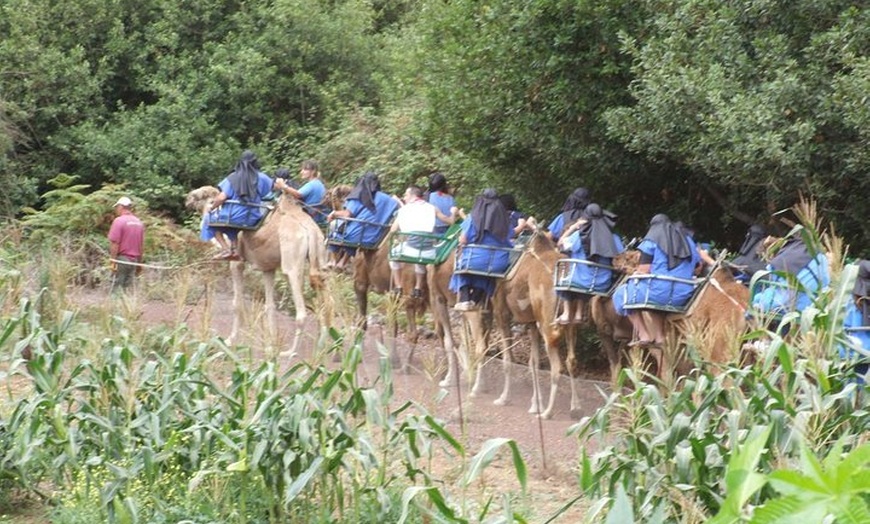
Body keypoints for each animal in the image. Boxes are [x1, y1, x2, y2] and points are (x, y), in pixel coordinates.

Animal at [185, 185, 328, 344]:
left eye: (201, 195)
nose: (187, 199)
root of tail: (310, 230)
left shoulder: (237, 262)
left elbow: (237, 304)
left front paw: (230, 340)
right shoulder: (268, 268)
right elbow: (270, 306)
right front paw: (271, 344)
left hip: (292, 262)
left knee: (301, 313)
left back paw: (290, 351)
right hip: (320, 256)